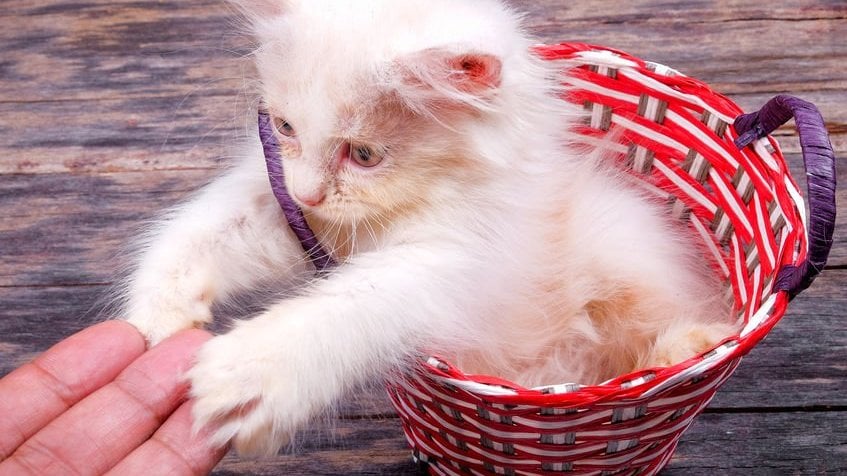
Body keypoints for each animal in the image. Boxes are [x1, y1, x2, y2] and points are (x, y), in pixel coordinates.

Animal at [124, 0, 736, 458]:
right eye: (284, 127)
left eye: (364, 155)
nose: (307, 194)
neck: (418, 201)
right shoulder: (287, 210)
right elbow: (200, 230)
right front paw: (157, 315)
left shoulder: (459, 261)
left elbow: (349, 306)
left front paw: (251, 376)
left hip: (619, 246)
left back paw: (689, 347)